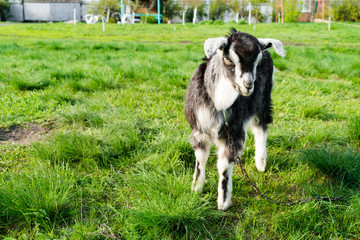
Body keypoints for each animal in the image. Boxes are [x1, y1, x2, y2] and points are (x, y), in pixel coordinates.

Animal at [186, 29, 284, 211]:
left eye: (258, 62)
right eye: (228, 59)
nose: (248, 85)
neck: (220, 103)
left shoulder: (234, 132)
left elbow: (224, 167)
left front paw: (223, 203)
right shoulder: (199, 130)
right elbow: (200, 160)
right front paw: (196, 188)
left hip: (263, 100)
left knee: (261, 127)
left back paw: (261, 163)